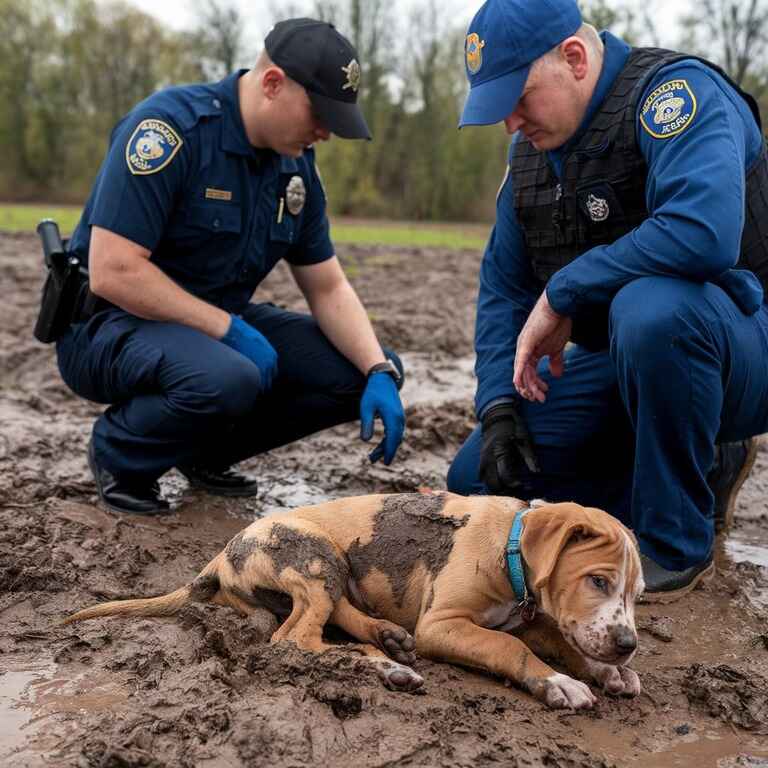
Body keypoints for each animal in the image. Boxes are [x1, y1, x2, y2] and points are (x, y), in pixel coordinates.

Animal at [64, 492, 640, 708]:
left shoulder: (535, 617)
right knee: (296, 640)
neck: (513, 544)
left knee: (327, 620)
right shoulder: (443, 624)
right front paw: (560, 683)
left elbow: (561, 639)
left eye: (637, 594)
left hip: (331, 569)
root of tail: (222, 554)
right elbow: (511, 648)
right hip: (314, 556)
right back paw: (384, 666)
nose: (629, 644)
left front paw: (607, 670)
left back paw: (388, 647)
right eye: (597, 581)